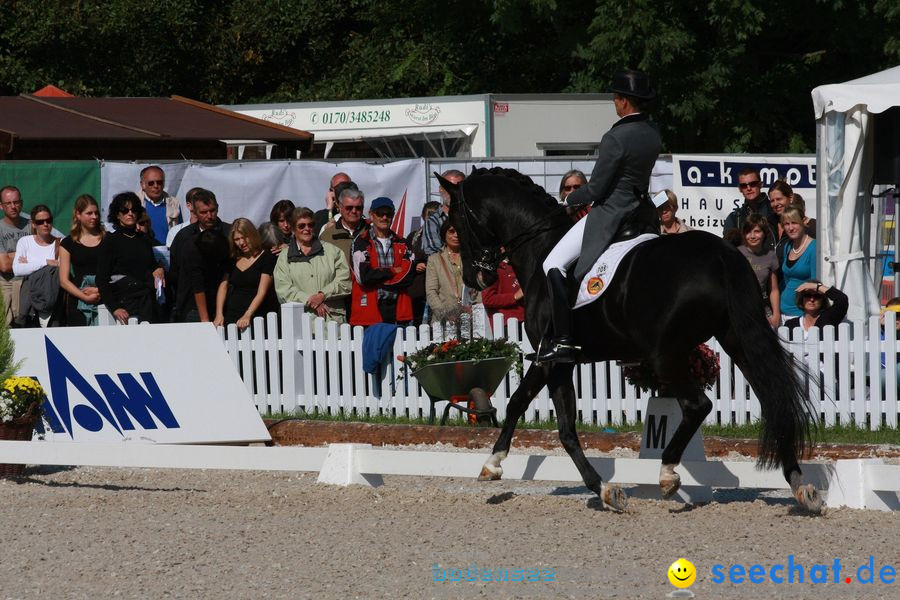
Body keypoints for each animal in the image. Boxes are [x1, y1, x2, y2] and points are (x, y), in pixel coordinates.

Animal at [436, 166, 824, 512]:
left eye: (454, 223)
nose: (476, 278)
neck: (539, 246)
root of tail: (720, 255)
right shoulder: (558, 360)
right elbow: (542, 415)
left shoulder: (552, 358)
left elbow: (544, 417)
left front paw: (600, 489)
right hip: (736, 338)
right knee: (772, 397)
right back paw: (800, 486)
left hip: (665, 354)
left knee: (698, 405)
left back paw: (668, 473)